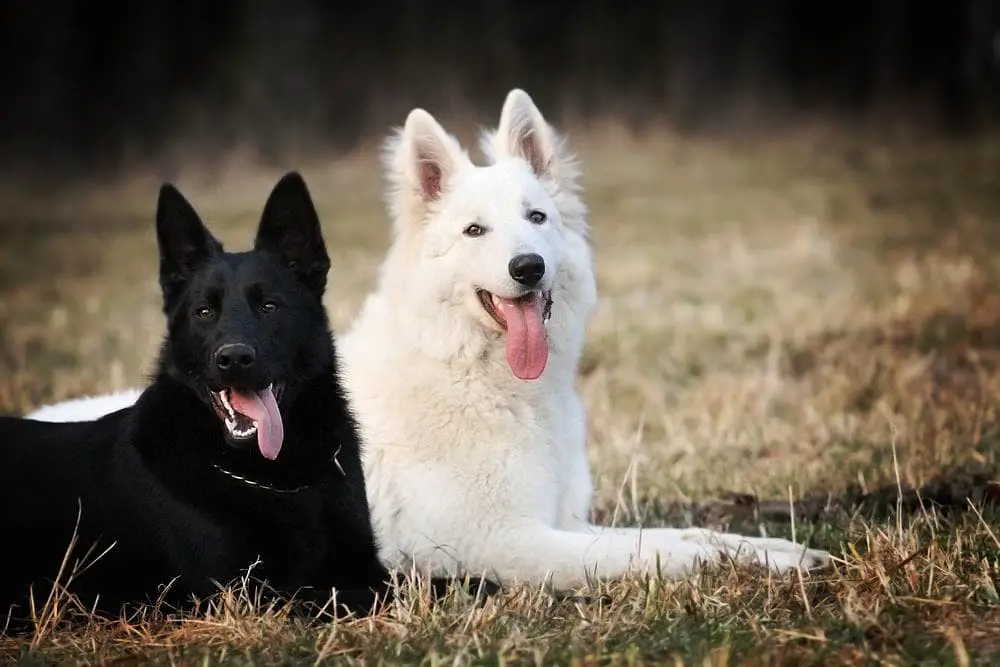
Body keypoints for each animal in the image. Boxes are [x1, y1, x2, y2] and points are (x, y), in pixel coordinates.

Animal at [0, 171, 394, 628]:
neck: (276, 480)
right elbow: (375, 595)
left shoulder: (364, 565)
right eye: (204, 312)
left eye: (269, 306)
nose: (234, 359)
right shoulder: (247, 599)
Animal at [27, 90, 832, 596]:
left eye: (537, 218)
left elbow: (689, 531)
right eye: (475, 231)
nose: (528, 266)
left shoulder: (562, 521)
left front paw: (786, 552)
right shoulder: (510, 541)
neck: (478, 377)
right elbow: (660, 550)